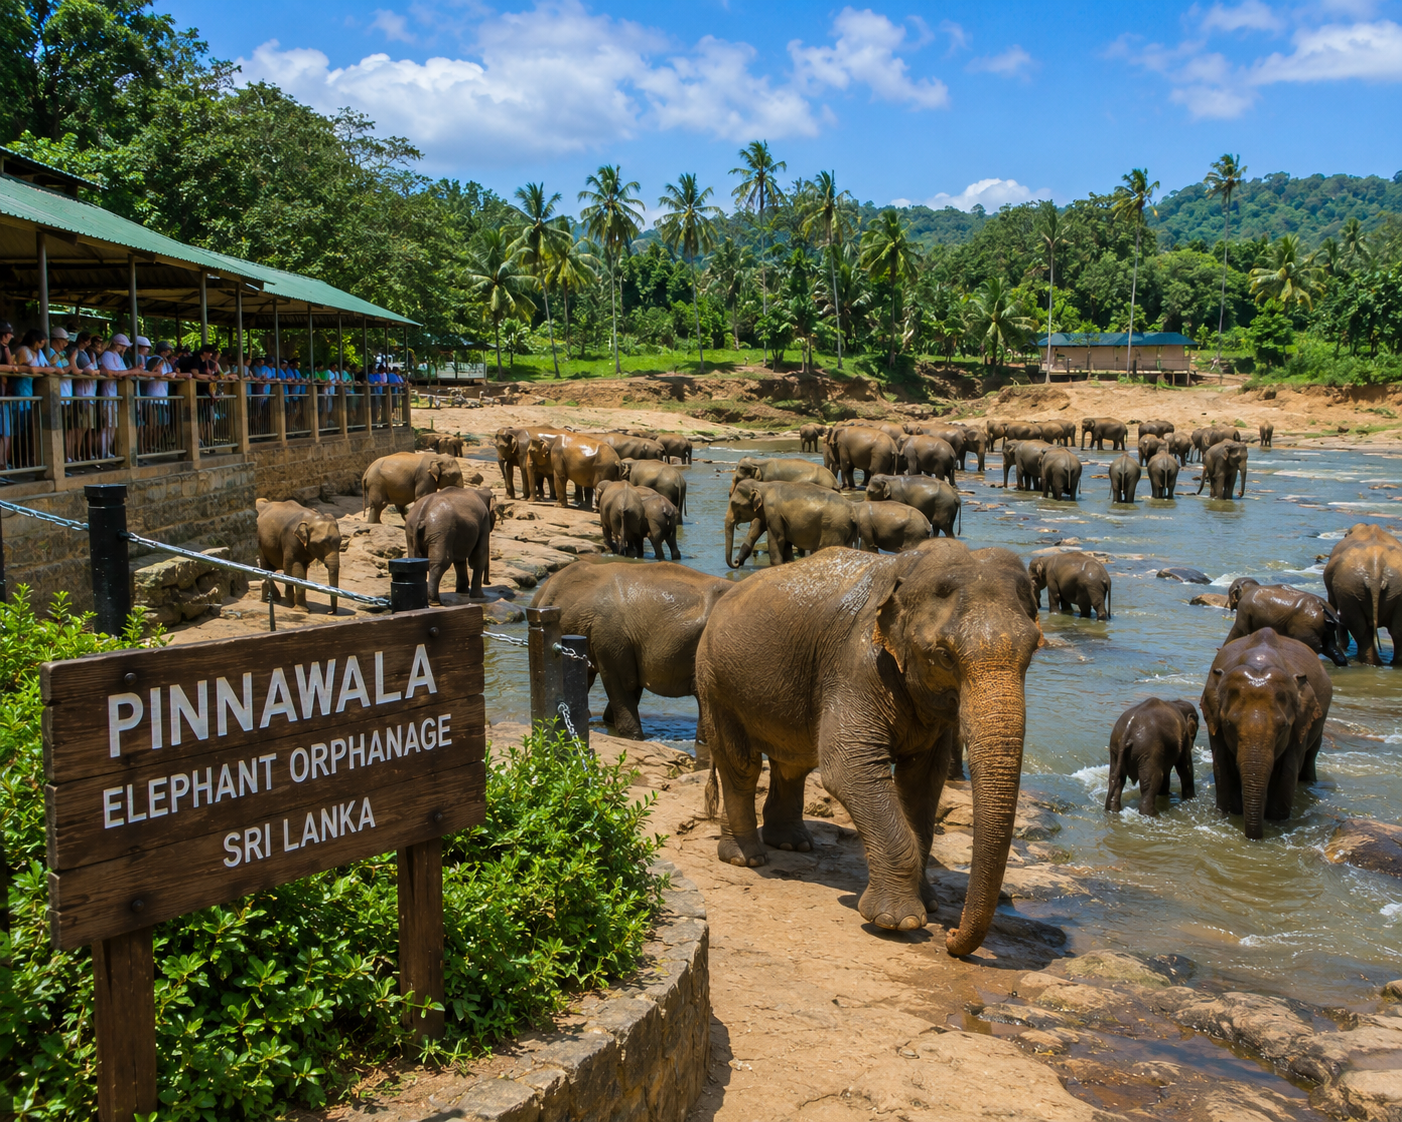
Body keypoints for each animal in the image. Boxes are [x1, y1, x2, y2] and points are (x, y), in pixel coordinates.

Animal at [694, 538, 1043, 953]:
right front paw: (898, 921)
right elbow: (848, 766)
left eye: (1033, 652)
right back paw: (746, 859)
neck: (909, 571)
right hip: (715, 680)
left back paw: (792, 845)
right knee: (741, 764)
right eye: (945, 656)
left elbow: (923, 780)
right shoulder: (857, 665)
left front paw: (929, 904)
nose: (952, 938)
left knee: (793, 763)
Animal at [726, 479, 858, 567]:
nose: (735, 563)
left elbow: (777, 538)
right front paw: (788, 563)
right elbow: (784, 541)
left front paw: (777, 565)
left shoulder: (773, 512)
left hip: (833, 528)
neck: (762, 485)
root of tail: (852, 510)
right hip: (845, 529)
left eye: (734, 504)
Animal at [1201, 628, 1332, 839]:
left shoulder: (1299, 725)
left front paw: (1276, 821)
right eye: (1229, 724)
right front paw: (1230, 814)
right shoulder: (1215, 724)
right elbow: (1222, 766)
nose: (1254, 838)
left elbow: (1287, 771)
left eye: (1284, 727)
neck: (1259, 662)